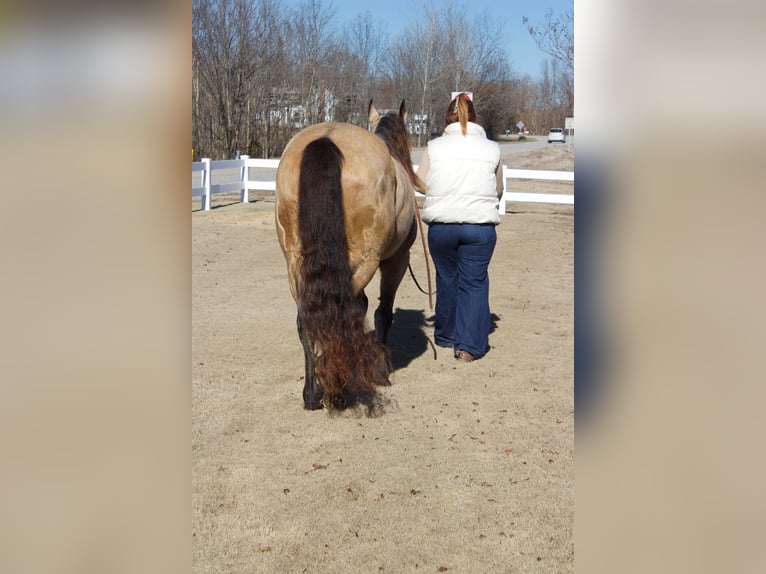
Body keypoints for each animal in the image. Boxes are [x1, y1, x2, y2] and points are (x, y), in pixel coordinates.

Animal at [274, 100, 424, 414]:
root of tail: (325, 139)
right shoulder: (397, 260)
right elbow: (382, 312)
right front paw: (380, 371)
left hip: (294, 262)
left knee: (306, 320)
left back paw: (313, 394)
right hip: (365, 259)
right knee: (342, 316)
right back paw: (338, 392)